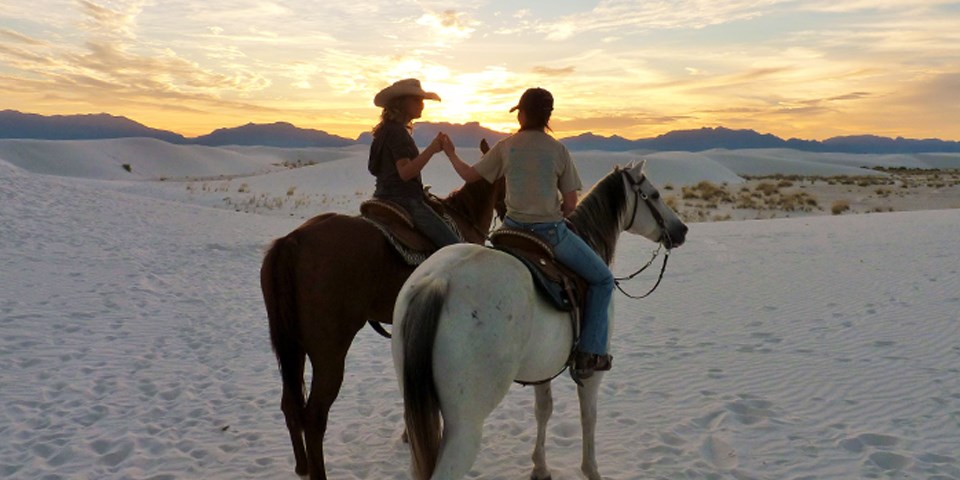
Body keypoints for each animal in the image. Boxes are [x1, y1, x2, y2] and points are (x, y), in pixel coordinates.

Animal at [258, 158, 506, 476]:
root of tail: (292, 241)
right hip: (329, 354)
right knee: (314, 417)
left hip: (293, 347)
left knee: (290, 404)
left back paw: (302, 468)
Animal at [392, 161, 688, 480]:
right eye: (654, 194)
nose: (681, 229)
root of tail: (438, 281)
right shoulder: (592, 371)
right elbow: (588, 417)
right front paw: (591, 470)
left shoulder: (542, 368)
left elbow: (543, 409)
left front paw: (540, 467)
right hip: (464, 427)